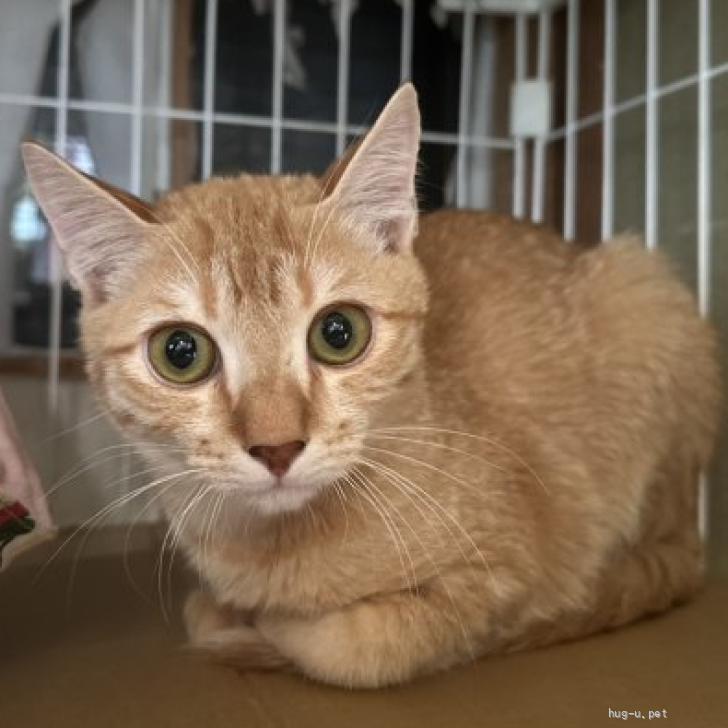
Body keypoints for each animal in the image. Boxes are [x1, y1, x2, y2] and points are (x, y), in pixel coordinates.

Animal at [23, 84, 720, 688]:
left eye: (339, 333)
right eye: (180, 353)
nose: (277, 447)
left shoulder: (509, 579)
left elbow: (352, 647)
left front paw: (266, 624)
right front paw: (233, 610)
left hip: (643, 287)